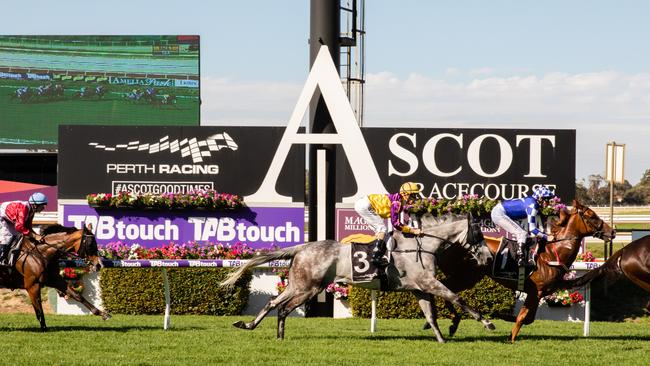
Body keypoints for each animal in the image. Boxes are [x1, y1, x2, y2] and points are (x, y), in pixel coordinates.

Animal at [220, 213, 494, 342]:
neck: (422, 245)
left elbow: (432, 314)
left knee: (272, 302)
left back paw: (249, 325)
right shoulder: (428, 283)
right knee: (284, 308)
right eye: (479, 234)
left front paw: (440, 338)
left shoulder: (420, 287)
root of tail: (302, 247)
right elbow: (458, 298)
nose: (489, 257)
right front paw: (487, 323)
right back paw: (279, 334)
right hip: (309, 288)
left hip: (298, 284)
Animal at [426, 199, 612, 342]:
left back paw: (446, 322)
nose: (612, 232)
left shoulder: (540, 293)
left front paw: (507, 322)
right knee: (444, 289)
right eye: (592, 216)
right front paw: (511, 338)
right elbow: (524, 317)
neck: (553, 253)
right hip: (465, 276)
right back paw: (447, 321)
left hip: (468, 277)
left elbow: (528, 318)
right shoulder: (535, 292)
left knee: (445, 290)